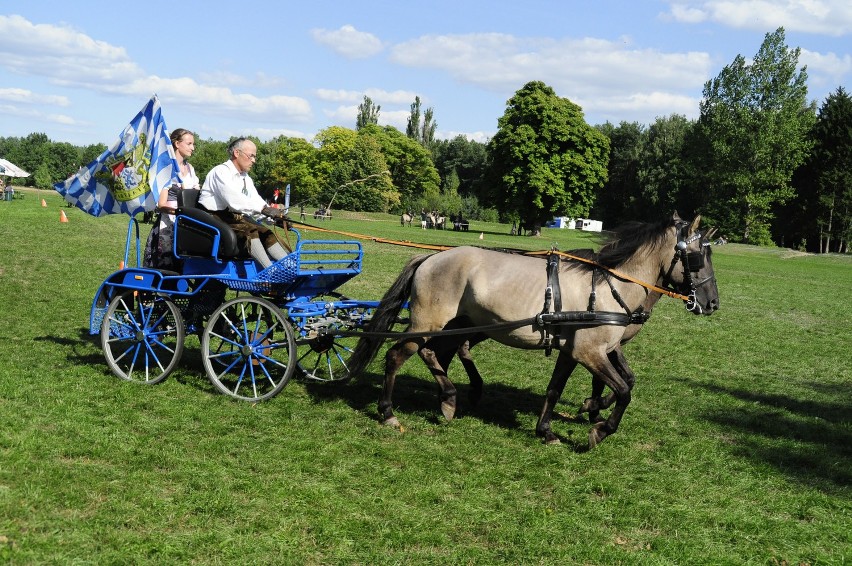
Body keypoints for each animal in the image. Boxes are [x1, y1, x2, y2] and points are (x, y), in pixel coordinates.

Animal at [350, 215, 724, 450]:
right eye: (696, 257)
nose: (712, 303)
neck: (610, 287)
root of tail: (430, 258)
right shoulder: (590, 352)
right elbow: (622, 391)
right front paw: (599, 428)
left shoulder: (575, 352)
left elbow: (558, 389)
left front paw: (549, 430)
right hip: (428, 324)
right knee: (396, 356)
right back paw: (389, 413)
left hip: (453, 325)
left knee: (436, 354)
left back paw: (449, 399)